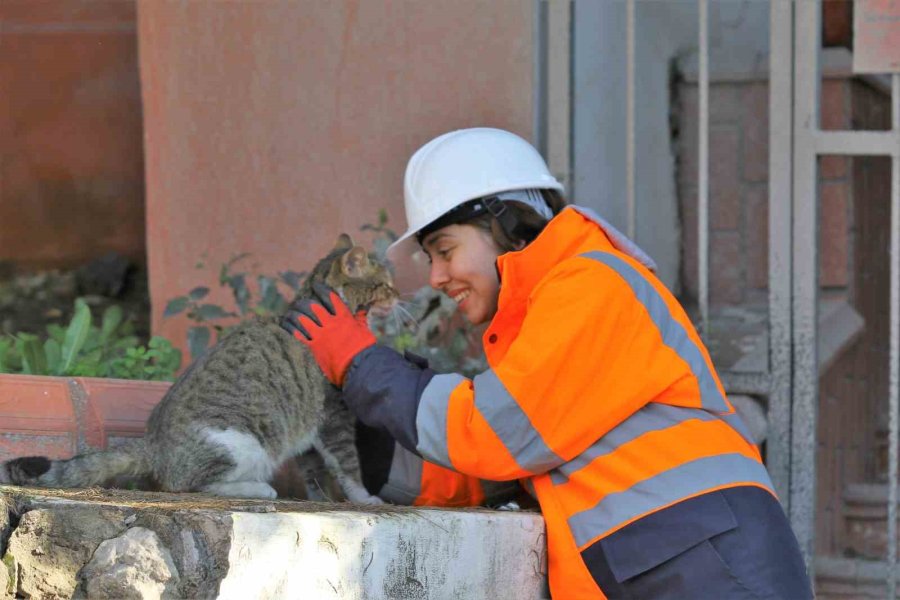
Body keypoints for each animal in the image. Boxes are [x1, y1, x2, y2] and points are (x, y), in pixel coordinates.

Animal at [0, 234, 398, 502]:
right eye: (385, 285)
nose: (399, 296)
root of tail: (154, 446)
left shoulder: (310, 434)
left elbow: (315, 473)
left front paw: (322, 499)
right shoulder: (334, 416)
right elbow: (349, 466)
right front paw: (365, 499)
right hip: (243, 442)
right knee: (192, 484)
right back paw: (258, 489)